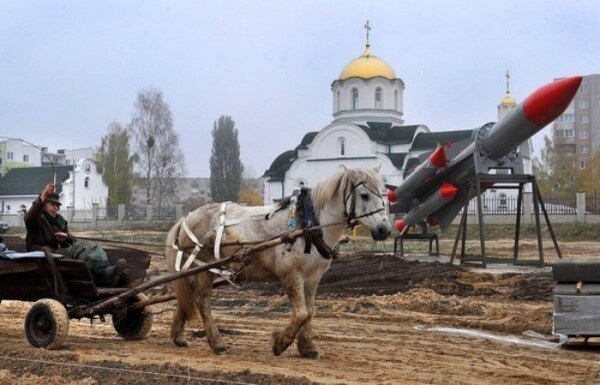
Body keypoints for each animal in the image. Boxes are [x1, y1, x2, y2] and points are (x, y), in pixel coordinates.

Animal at [165, 166, 390, 356]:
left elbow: (310, 312)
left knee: (187, 298)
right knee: (203, 302)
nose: (384, 230)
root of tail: (187, 217)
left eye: (384, 195)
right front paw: (281, 342)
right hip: (204, 269)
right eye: (364, 195)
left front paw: (307, 347)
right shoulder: (291, 275)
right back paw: (217, 342)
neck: (307, 226)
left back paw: (178, 336)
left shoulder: (313, 278)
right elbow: (301, 313)